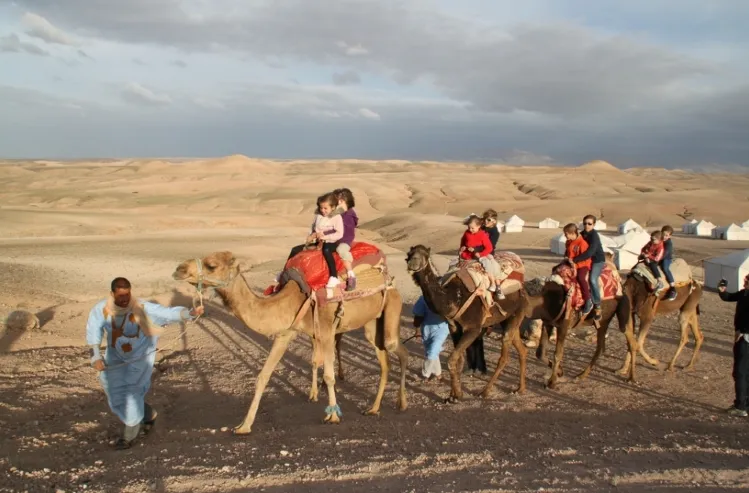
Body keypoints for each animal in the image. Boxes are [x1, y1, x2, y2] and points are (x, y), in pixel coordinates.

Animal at [172, 252, 410, 432]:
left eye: (211, 265)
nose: (178, 269)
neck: (292, 298)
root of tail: (390, 280)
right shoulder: (285, 333)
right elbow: (263, 376)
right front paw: (244, 426)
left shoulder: (325, 330)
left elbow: (329, 375)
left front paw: (333, 416)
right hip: (372, 324)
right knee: (385, 361)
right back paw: (373, 408)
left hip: (392, 307)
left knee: (399, 351)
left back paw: (402, 403)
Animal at [406, 244, 528, 402]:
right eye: (409, 254)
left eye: (425, 255)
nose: (412, 263)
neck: (454, 298)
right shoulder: (454, 328)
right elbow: (459, 360)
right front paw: (453, 395)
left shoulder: (473, 329)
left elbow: (451, 360)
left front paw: (456, 395)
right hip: (509, 318)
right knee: (521, 349)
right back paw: (520, 389)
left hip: (518, 311)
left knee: (504, 356)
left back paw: (485, 391)